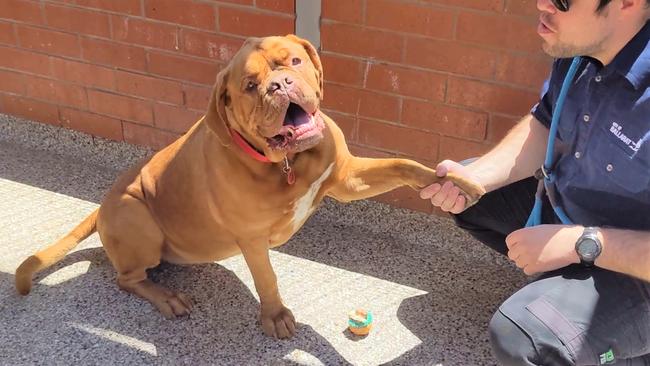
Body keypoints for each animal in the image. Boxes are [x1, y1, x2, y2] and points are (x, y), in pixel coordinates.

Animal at [15, 35, 484, 340]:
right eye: (250, 85)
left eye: (292, 61)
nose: (280, 84)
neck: (288, 164)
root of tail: (100, 208)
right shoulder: (253, 238)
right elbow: (268, 277)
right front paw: (274, 317)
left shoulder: (347, 177)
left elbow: (406, 165)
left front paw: (455, 182)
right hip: (137, 218)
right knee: (126, 278)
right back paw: (167, 297)